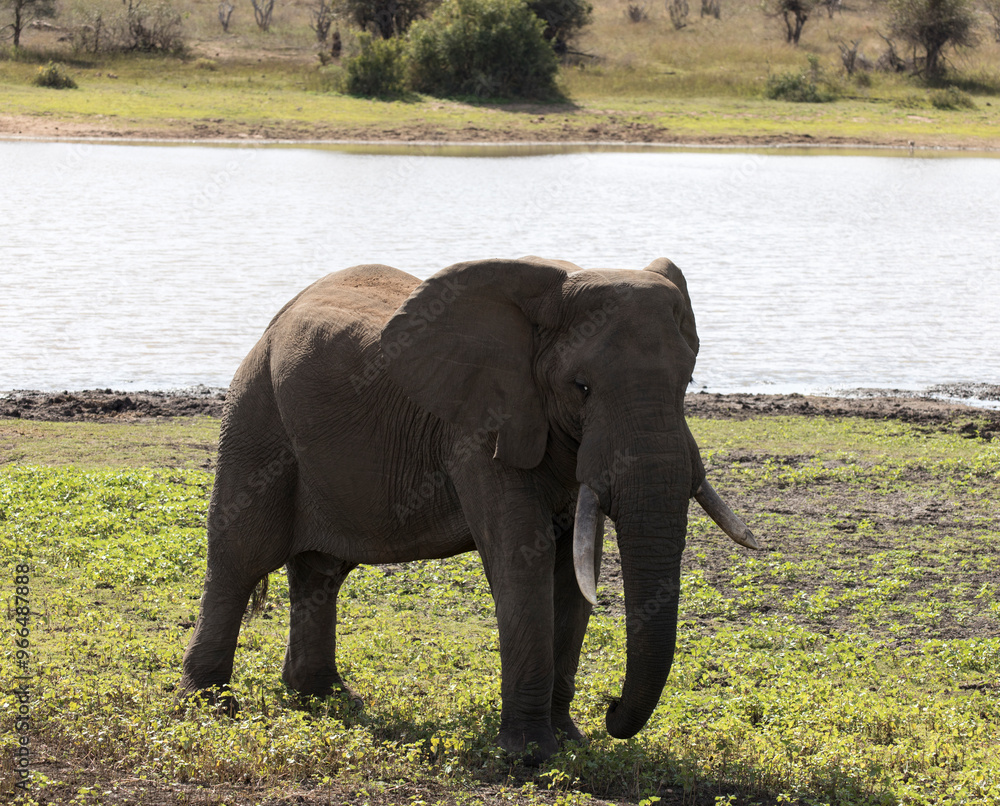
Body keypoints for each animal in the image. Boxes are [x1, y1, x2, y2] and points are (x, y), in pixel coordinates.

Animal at [179, 256, 759, 763]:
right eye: (582, 387)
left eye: (688, 383)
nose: (611, 709)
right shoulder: (480, 426)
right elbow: (522, 559)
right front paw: (531, 757)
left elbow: (573, 572)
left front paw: (570, 742)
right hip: (255, 416)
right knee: (238, 559)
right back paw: (208, 711)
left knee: (322, 571)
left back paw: (326, 699)